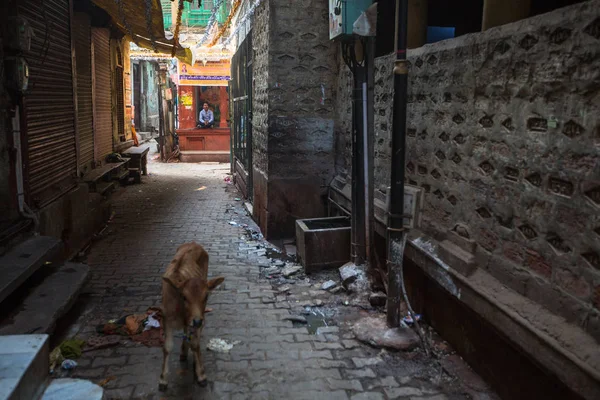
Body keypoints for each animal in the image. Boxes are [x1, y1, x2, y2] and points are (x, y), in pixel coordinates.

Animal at [159, 241, 225, 390]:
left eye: (206, 296)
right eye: (184, 297)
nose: (197, 322)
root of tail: (193, 243)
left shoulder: (198, 317)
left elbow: (195, 345)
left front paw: (201, 375)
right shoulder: (167, 319)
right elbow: (167, 347)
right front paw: (163, 380)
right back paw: (184, 351)